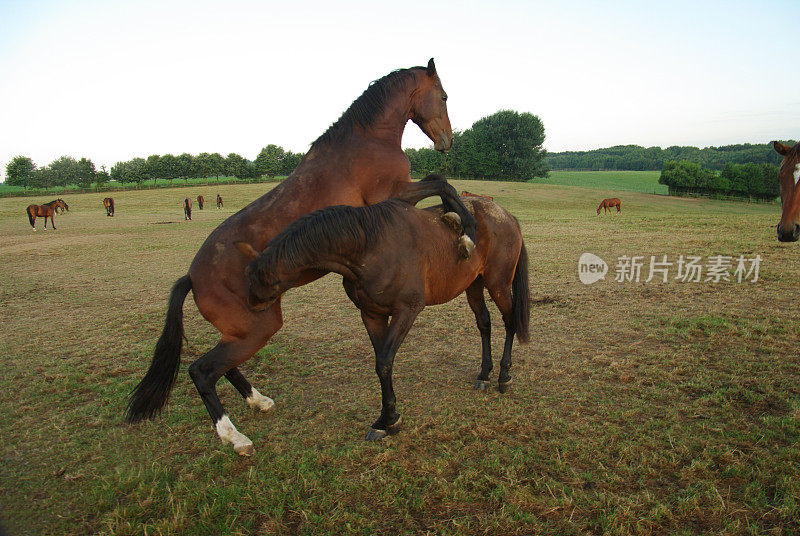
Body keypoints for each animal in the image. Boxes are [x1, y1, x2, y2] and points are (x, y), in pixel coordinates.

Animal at [122, 58, 478, 454]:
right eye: (444, 96)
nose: (448, 141)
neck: (368, 141)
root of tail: (192, 277)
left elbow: (439, 182)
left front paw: (456, 222)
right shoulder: (396, 195)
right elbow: (441, 182)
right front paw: (466, 229)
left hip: (242, 333)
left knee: (222, 367)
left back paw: (259, 401)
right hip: (257, 328)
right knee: (202, 371)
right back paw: (235, 438)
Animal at [233, 196, 532, 444]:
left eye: (265, 281)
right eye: (247, 275)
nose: (250, 305)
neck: (370, 247)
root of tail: (507, 216)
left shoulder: (407, 311)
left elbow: (385, 361)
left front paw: (390, 420)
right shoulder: (372, 315)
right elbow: (380, 364)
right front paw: (384, 419)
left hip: (498, 284)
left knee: (509, 322)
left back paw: (504, 375)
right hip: (474, 285)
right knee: (485, 323)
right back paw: (484, 374)